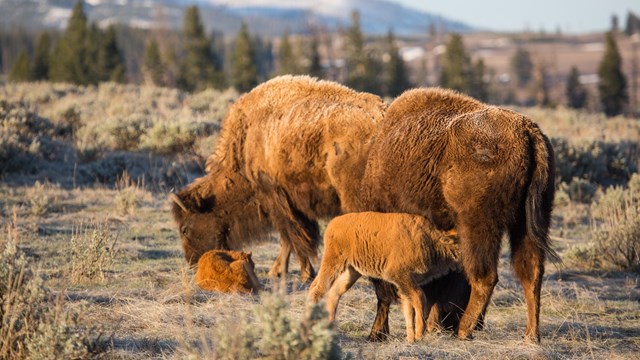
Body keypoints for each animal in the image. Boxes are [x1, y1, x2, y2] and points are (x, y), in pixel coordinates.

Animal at [308, 212, 460, 342]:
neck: (431, 239)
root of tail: (333, 223)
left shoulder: (406, 283)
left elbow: (408, 308)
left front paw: (411, 339)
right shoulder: (400, 276)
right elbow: (419, 298)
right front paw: (419, 334)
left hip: (351, 271)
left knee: (333, 293)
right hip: (333, 263)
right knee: (318, 289)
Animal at [360, 88, 560, 344]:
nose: (447, 324)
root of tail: (528, 133)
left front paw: (379, 332)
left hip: (478, 223)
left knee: (485, 277)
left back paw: (465, 330)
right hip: (530, 221)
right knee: (531, 274)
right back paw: (530, 335)